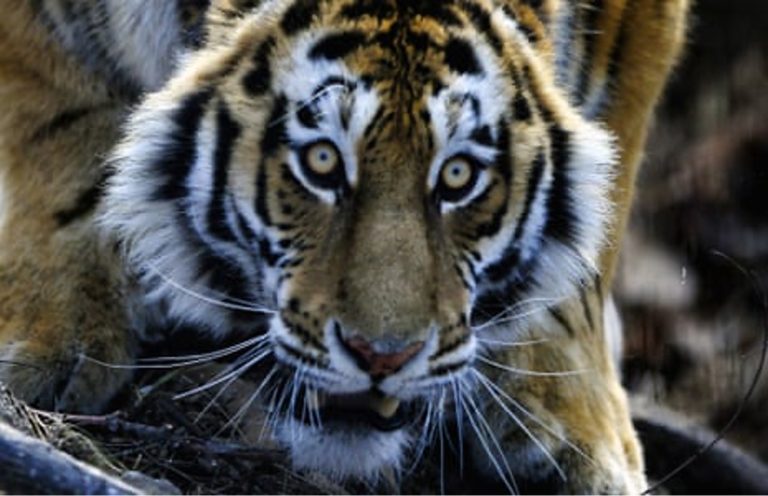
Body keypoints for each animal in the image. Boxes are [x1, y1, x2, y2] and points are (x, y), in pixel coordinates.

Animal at [0, 0, 689, 492]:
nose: (382, 357)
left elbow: (601, 208)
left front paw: (579, 426)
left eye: (458, 176)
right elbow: (55, 128)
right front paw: (55, 333)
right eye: (322, 162)